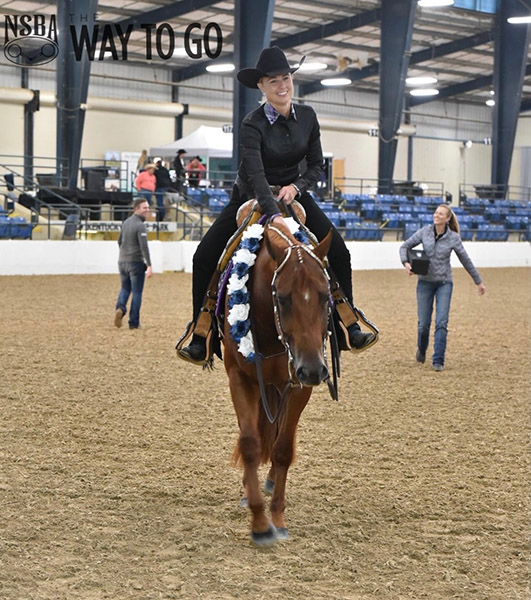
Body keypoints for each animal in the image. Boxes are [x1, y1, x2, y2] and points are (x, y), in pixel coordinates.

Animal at [221, 212, 334, 547]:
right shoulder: (240, 379)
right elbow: (249, 442)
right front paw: (260, 522)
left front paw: (278, 519)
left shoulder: (298, 387)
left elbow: (283, 448)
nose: (313, 369)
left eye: (326, 295)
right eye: (282, 299)